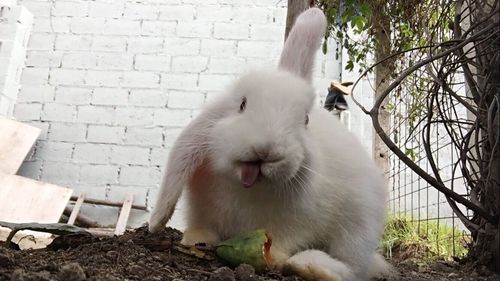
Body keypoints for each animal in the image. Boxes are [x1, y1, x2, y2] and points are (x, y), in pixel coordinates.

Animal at [150, 6, 392, 280]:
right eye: (242, 104)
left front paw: (275, 258)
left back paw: (311, 266)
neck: (247, 188)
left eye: (305, 119)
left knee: (353, 268)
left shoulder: (297, 223)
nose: (266, 150)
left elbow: (283, 240)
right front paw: (195, 237)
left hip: (358, 227)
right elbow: (202, 225)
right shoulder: (201, 206)